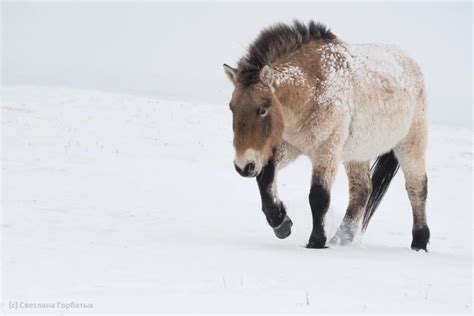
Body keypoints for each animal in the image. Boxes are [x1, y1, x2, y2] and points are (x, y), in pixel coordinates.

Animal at [222, 20, 430, 252]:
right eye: (231, 107)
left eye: (262, 110)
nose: (243, 166)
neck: (313, 87)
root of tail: (410, 62)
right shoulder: (289, 147)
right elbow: (265, 178)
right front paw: (281, 223)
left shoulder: (326, 149)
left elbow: (318, 196)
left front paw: (316, 241)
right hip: (356, 154)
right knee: (361, 190)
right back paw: (341, 239)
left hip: (410, 144)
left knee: (417, 188)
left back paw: (419, 242)